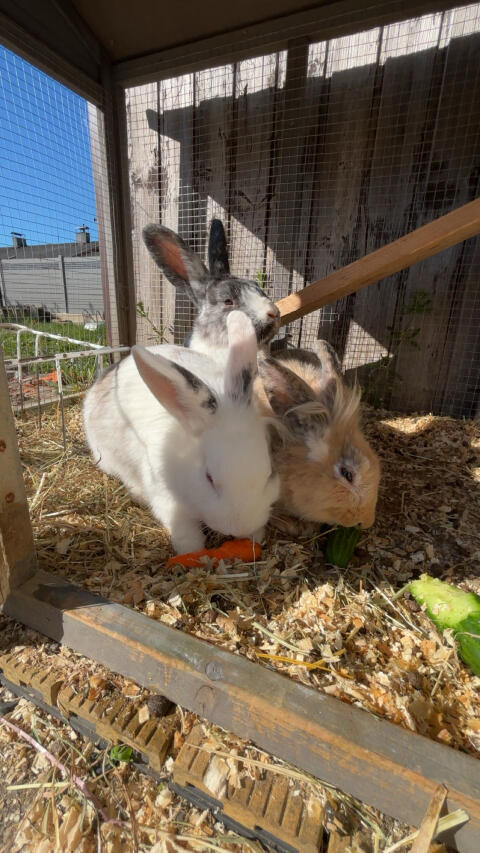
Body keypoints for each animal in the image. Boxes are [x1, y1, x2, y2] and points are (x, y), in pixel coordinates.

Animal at [83, 311, 280, 555]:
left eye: (269, 472)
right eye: (209, 477)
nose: (240, 527)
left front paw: (255, 537)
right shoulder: (164, 494)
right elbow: (182, 525)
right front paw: (191, 549)